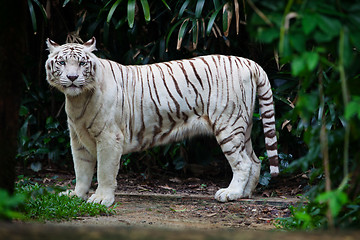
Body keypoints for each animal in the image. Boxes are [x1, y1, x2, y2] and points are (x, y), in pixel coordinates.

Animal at [45, 37, 280, 206]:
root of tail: (249, 62)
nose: (73, 78)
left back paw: (230, 193)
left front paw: (101, 199)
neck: (78, 99)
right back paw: (245, 194)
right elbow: (81, 170)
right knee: (255, 161)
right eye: (62, 62)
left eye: (82, 63)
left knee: (243, 163)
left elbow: (104, 171)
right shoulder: (78, 139)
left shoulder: (110, 137)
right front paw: (76, 195)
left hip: (228, 125)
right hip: (243, 126)